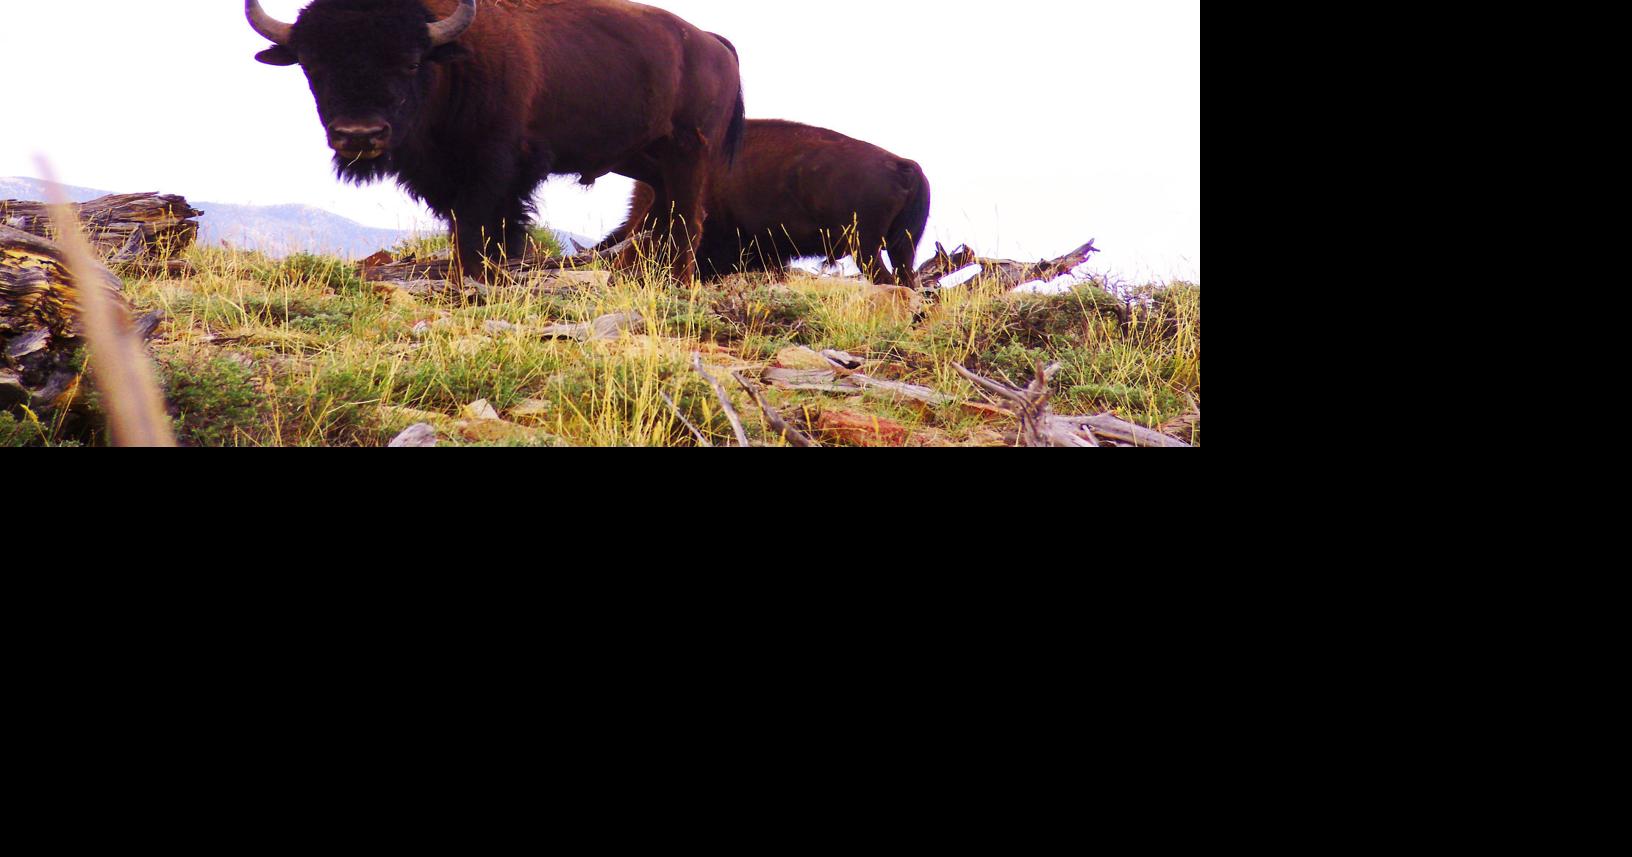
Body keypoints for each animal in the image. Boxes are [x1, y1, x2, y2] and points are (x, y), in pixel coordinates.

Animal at [245, 0, 746, 281]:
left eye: (410, 62)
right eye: (312, 65)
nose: (359, 134)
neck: (448, 62)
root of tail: (711, 43)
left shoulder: (493, 169)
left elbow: (481, 229)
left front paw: (474, 278)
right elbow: (467, 228)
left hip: (688, 152)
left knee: (688, 219)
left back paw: (677, 282)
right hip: (644, 159)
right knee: (661, 213)